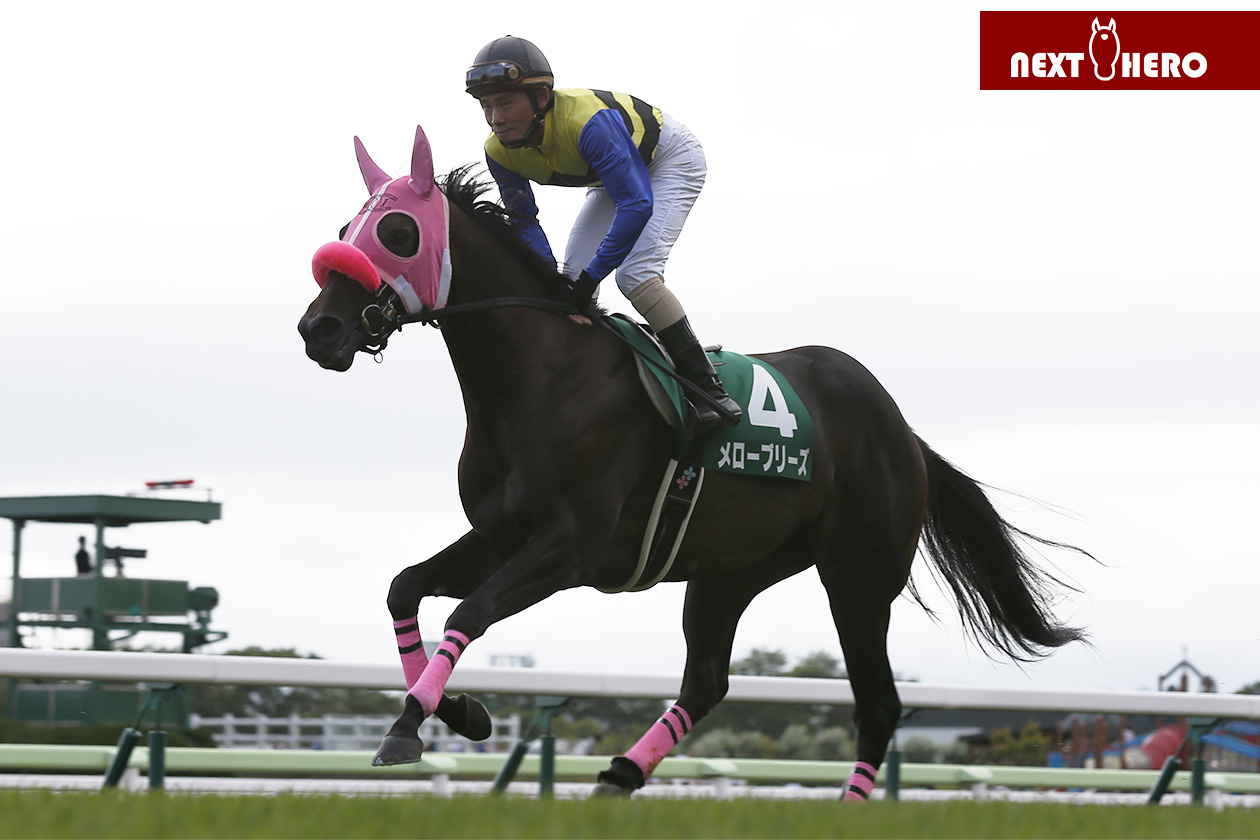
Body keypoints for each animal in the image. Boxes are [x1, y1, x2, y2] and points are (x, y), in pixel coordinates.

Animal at [298, 125, 1087, 799]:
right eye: (343, 231)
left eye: (397, 234)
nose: (319, 329)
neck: (540, 377)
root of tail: (901, 430)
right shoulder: (500, 536)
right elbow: (405, 588)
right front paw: (456, 711)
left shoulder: (570, 546)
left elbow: (472, 609)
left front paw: (410, 725)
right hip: (730, 571)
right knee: (707, 682)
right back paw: (618, 777)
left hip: (858, 577)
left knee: (879, 704)